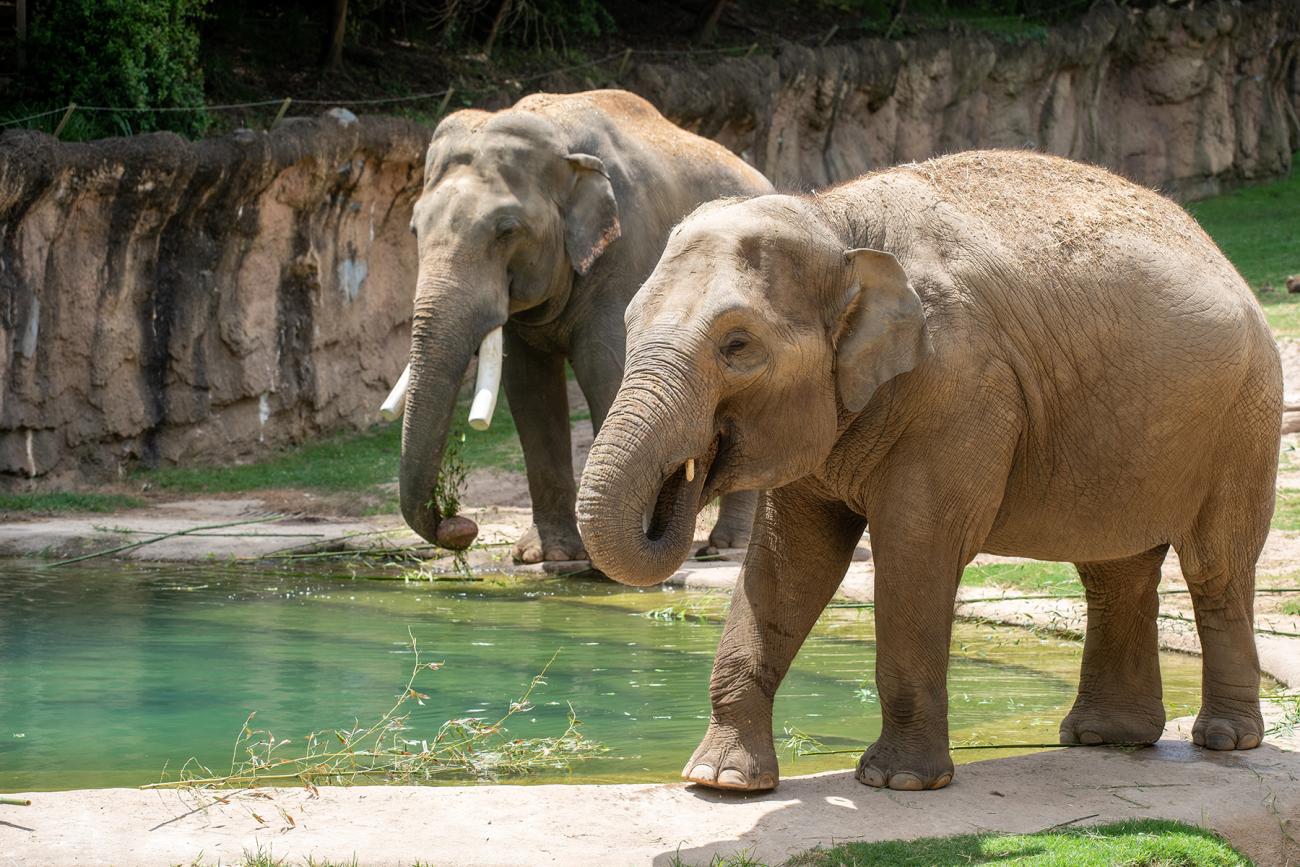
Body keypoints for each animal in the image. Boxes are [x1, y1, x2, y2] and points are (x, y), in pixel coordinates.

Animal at [390, 88, 764, 564]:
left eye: (506, 230)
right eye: (414, 228)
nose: (461, 525)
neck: (559, 140)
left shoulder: (626, 253)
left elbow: (604, 366)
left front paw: (612, 558)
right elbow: (528, 386)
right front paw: (547, 555)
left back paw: (725, 547)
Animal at [577, 147, 1279, 795]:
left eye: (738, 346)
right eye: (630, 323)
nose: (687, 479)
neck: (835, 221)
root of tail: (1219, 253)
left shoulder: (961, 386)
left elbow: (917, 547)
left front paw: (898, 782)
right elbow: (788, 560)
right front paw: (720, 781)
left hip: (1246, 420)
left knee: (1215, 565)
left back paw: (1225, 740)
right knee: (1114, 570)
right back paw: (1105, 738)